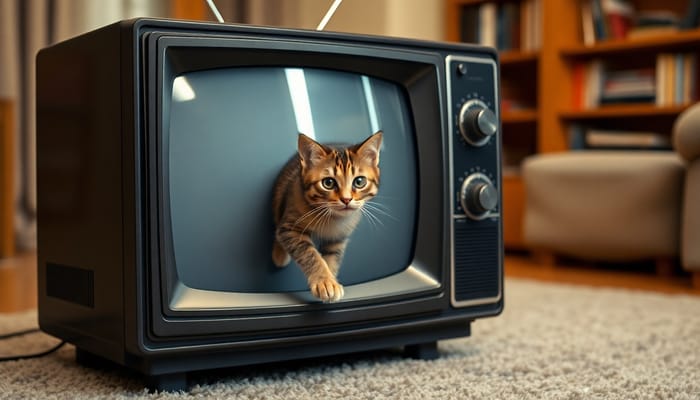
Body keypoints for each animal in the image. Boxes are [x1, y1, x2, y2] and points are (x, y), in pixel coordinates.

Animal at [272, 133, 382, 302]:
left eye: (359, 181)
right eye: (328, 183)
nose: (346, 199)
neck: (331, 217)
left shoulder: (338, 238)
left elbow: (331, 258)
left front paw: (331, 281)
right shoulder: (291, 227)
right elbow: (310, 254)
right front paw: (324, 281)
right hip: (281, 191)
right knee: (277, 222)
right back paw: (279, 254)